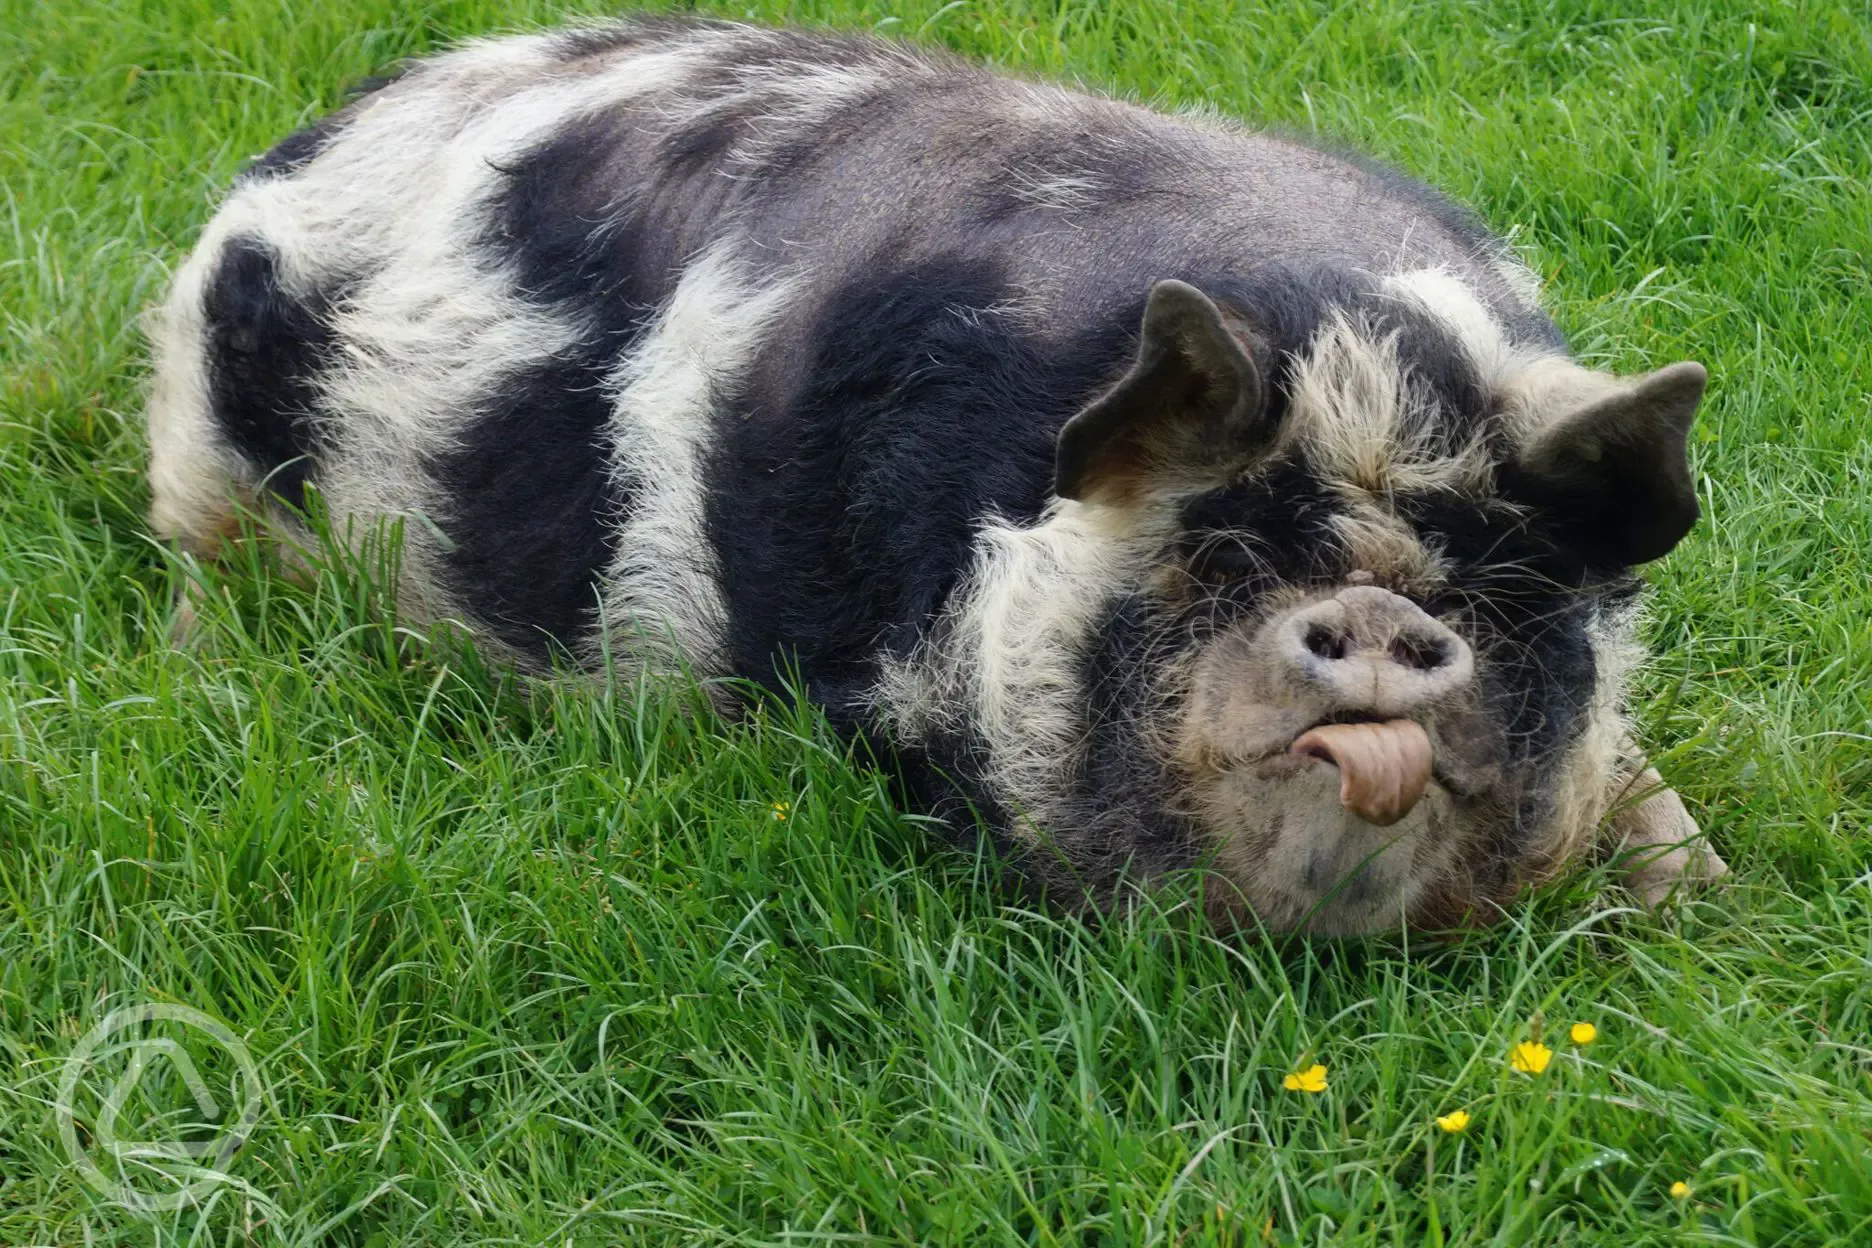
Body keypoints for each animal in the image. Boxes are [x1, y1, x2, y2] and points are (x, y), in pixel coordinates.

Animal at [142, 14, 1722, 931]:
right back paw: (200, 664)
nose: (1387, 623)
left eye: (1498, 595)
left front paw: (1690, 888)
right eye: (1218, 555)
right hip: (203, 467)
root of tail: (303, 141)